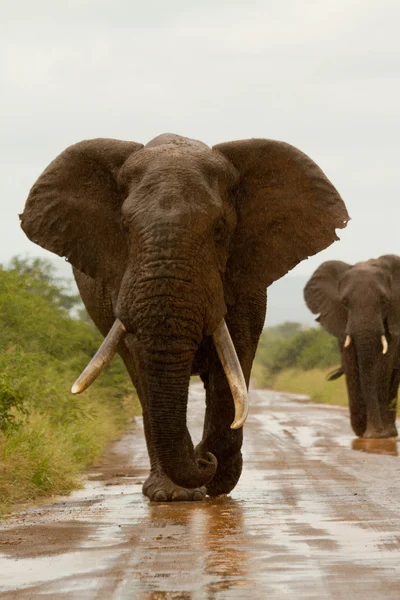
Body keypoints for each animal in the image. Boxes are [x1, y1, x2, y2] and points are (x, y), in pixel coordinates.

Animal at [20, 132, 348, 502]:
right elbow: (145, 361)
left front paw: (214, 474)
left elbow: (232, 363)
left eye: (220, 228)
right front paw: (181, 489)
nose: (203, 460)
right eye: (124, 227)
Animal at [304, 255, 400, 438]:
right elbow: (351, 366)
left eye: (384, 300)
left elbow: (383, 367)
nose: (373, 431)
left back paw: (390, 432)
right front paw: (367, 432)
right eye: (345, 302)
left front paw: (377, 435)